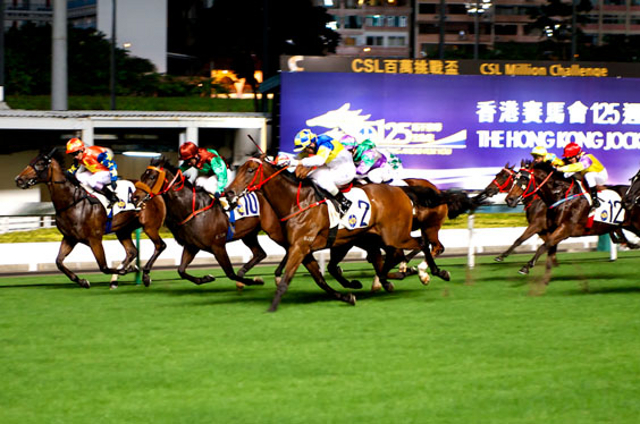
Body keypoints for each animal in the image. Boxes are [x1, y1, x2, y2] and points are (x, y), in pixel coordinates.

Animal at [14, 149, 168, 288]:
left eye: (40, 164)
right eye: (31, 162)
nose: (18, 179)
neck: (72, 202)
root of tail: (155, 193)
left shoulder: (95, 239)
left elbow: (103, 267)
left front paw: (130, 269)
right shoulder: (70, 238)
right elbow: (59, 262)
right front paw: (83, 281)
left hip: (149, 226)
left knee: (160, 245)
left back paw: (145, 275)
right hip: (123, 230)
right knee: (132, 251)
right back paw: (119, 277)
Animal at [226, 155, 456, 312]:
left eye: (250, 170)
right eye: (239, 169)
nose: (228, 192)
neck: (295, 201)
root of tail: (401, 189)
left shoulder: (301, 246)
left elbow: (288, 279)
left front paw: (272, 307)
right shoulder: (306, 248)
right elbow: (321, 279)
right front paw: (347, 296)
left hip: (396, 235)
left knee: (423, 243)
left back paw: (433, 272)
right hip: (383, 237)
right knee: (399, 254)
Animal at [504, 161, 640, 284]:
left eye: (523, 179)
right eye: (514, 179)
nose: (509, 199)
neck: (561, 196)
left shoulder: (564, 228)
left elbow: (544, 245)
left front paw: (526, 267)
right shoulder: (552, 229)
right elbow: (548, 248)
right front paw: (545, 279)